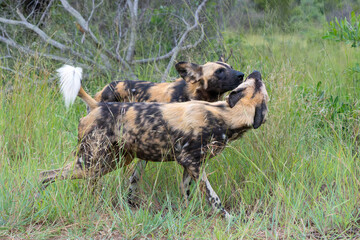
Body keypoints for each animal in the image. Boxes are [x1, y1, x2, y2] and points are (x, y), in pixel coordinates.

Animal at [40, 65, 268, 219]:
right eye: (257, 83)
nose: (255, 71)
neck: (226, 114)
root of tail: (98, 105)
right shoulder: (193, 164)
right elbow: (214, 198)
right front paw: (229, 218)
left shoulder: (190, 166)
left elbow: (186, 193)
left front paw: (186, 214)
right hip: (90, 164)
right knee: (47, 174)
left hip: (110, 163)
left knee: (52, 176)